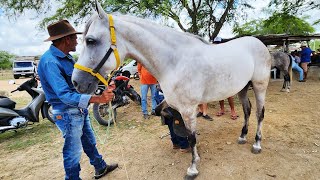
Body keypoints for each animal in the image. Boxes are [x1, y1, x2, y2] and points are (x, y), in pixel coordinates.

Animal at [71, 1, 272, 179]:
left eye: (90, 41)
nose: (76, 82)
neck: (175, 62)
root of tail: (259, 43)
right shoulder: (174, 104)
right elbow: (168, 118)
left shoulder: (188, 109)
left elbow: (191, 137)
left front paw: (192, 168)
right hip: (243, 88)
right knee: (247, 110)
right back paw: (243, 136)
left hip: (259, 86)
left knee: (259, 114)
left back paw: (257, 144)